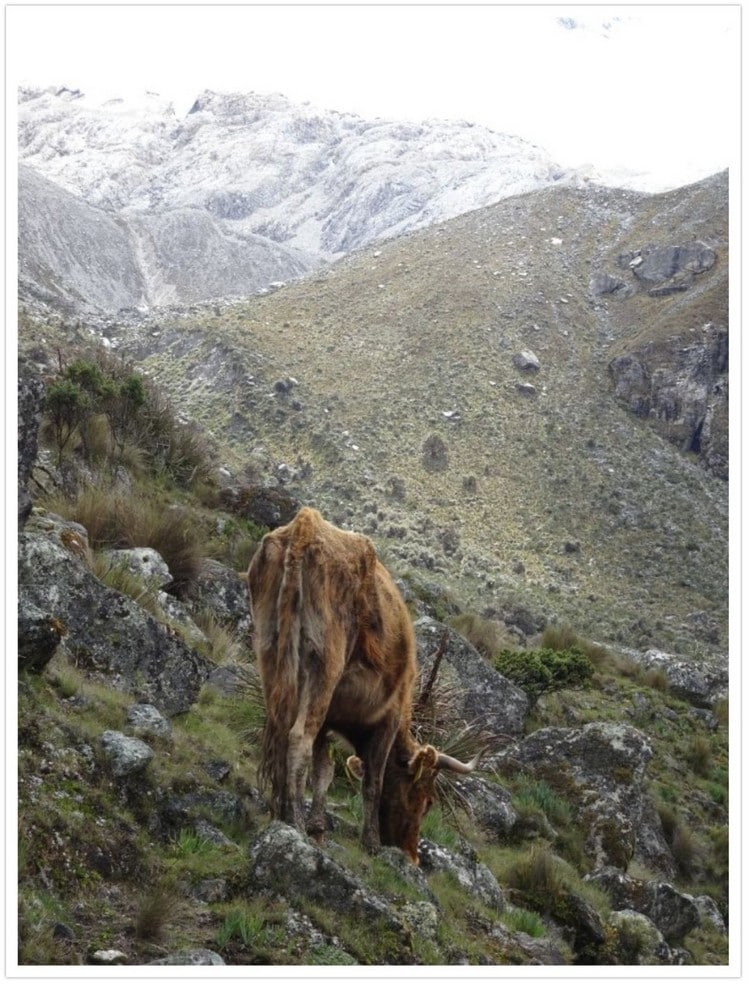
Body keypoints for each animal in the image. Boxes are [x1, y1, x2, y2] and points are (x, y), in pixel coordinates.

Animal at [248, 506, 482, 860]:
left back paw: (283, 812)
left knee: (279, 732)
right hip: (324, 666)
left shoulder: (329, 717)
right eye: (426, 800)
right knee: (298, 739)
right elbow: (373, 780)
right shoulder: (387, 718)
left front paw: (318, 827)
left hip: (270, 654)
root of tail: (306, 524)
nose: (412, 856)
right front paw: (370, 842)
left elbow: (324, 769)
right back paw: (295, 823)